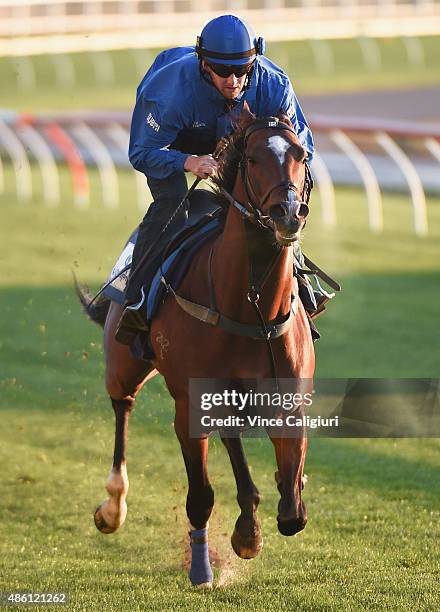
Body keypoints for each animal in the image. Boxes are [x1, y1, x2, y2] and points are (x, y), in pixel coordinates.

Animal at [77, 106, 314, 588]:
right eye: (254, 158)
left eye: (300, 154)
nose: (288, 213)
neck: (249, 310)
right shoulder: (190, 404)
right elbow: (201, 496)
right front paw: (206, 566)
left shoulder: (288, 398)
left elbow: (292, 508)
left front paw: (272, 508)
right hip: (123, 364)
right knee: (122, 407)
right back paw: (113, 506)